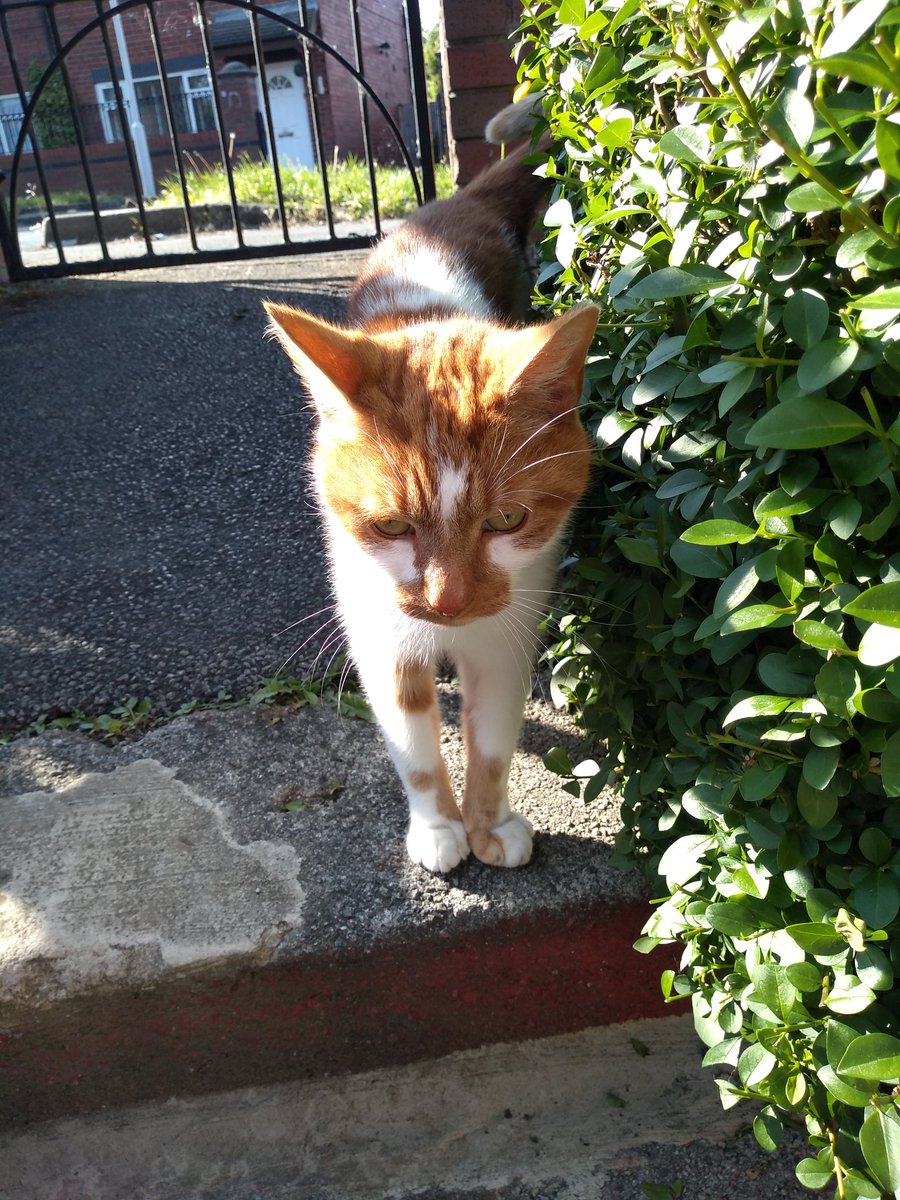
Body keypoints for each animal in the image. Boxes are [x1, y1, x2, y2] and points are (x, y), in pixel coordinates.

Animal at [267, 100, 600, 873]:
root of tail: (456, 204)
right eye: (391, 526)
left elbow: (494, 737)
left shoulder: (509, 629)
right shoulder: (375, 624)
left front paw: (489, 822)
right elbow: (412, 742)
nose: (448, 605)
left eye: (508, 521)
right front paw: (438, 827)